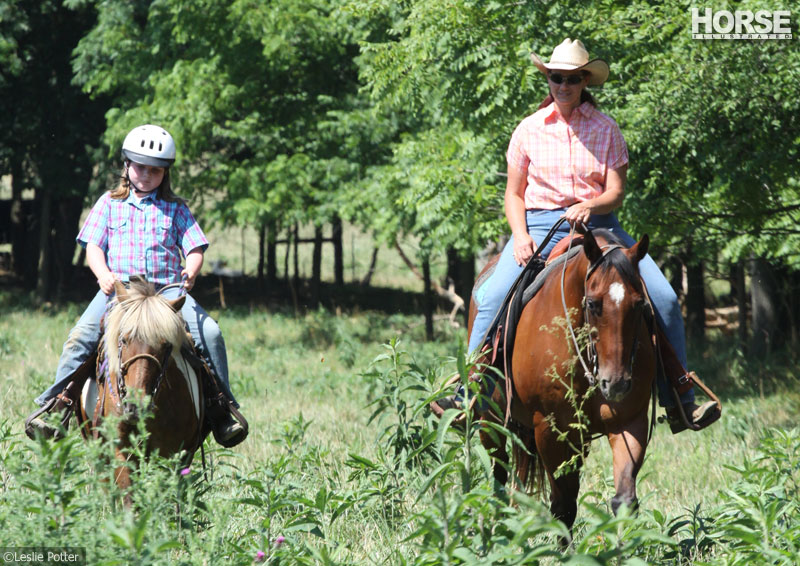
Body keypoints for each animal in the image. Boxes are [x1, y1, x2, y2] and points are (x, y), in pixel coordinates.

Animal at [472, 229, 652, 536]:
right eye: (592, 303)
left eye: (639, 303)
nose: (616, 384)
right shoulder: (549, 428)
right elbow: (563, 506)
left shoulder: (629, 421)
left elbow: (624, 500)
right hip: (490, 419)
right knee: (498, 471)